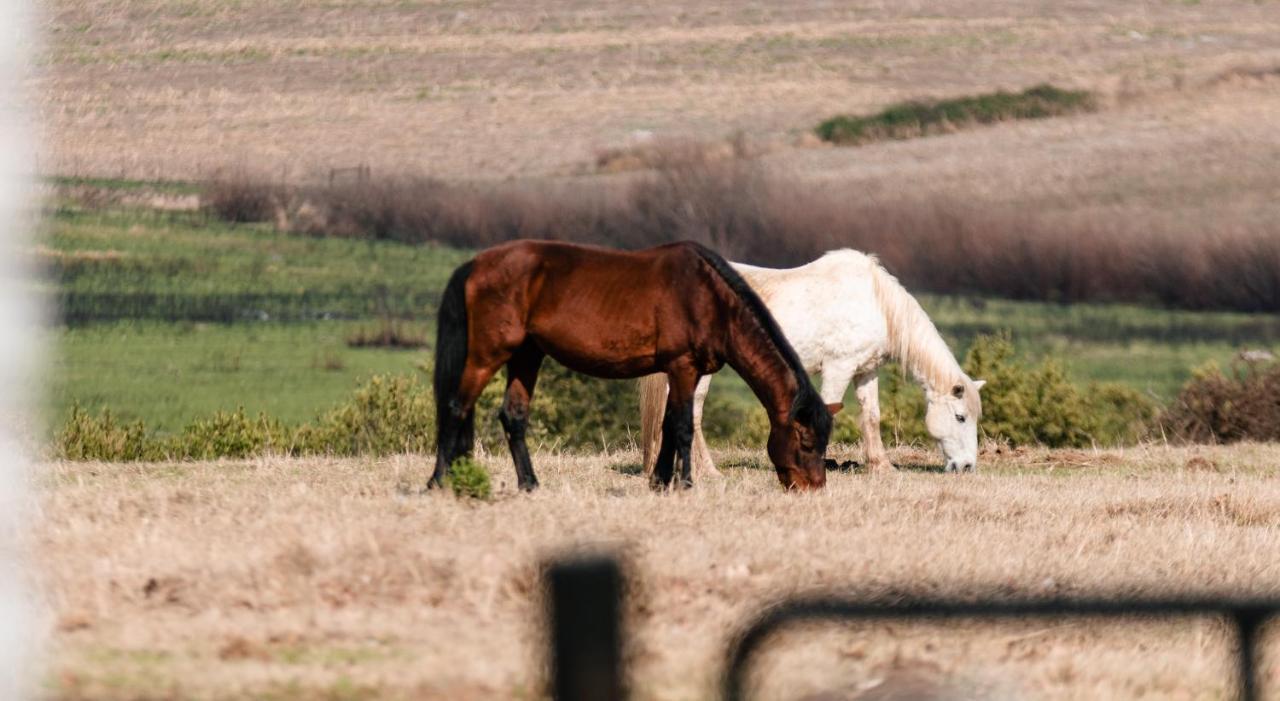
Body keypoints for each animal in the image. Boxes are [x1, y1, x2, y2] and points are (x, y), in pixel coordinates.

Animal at [430, 237, 829, 491]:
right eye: (807, 442)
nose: (813, 488)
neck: (709, 297)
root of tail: (476, 264)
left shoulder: (680, 371)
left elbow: (668, 425)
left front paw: (660, 482)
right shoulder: (682, 368)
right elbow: (682, 426)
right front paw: (685, 484)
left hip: (526, 356)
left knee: (512, 416)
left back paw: (529, 484)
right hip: (488, 353)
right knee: (455, 406)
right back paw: (438, 481)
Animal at [640, 248, 988, 475]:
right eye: (960, 417)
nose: (967, 466)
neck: (875, 303)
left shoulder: (866, 371)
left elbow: (872, 416)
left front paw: (882, 466)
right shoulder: (839, 368)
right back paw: (708, 471)